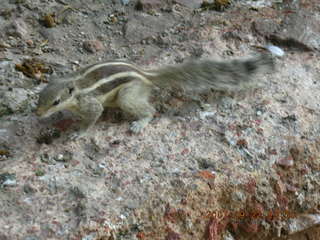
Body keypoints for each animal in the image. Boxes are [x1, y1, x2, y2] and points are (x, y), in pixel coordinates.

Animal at [36, 45, 284, 139]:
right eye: (39, 98)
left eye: (56, 101)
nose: (38, 114)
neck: (75, 87)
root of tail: (145, 75)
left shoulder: (91, 104)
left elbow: (93, 117)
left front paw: (79, 131)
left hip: (127, 96)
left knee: (150, 109)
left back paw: (140, 123)